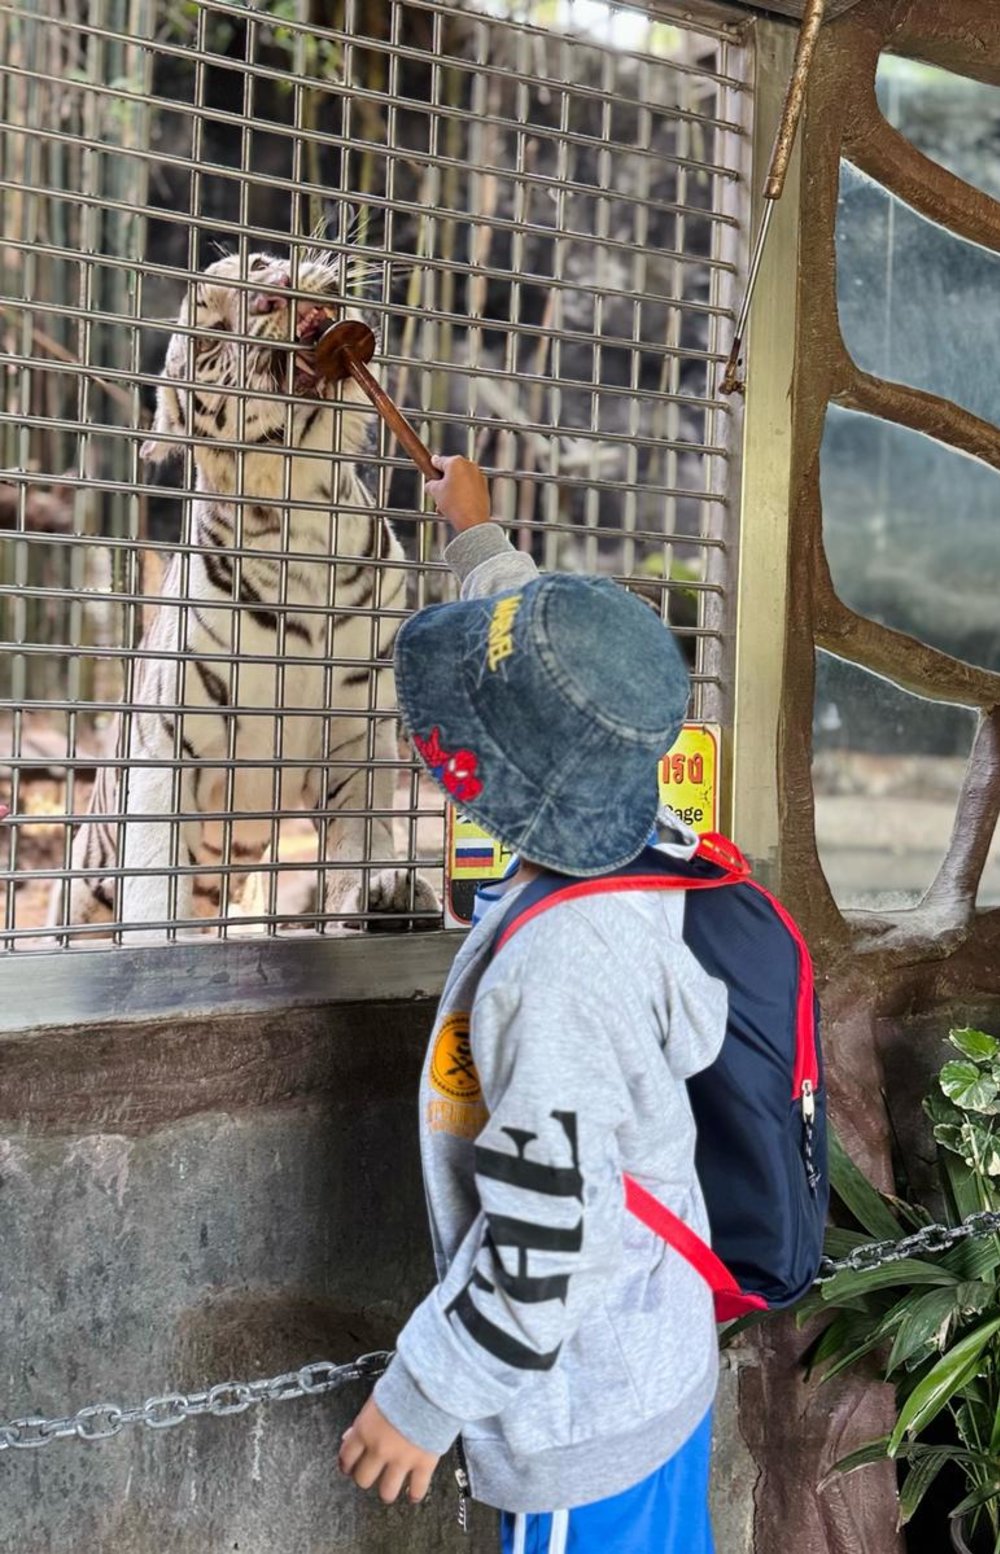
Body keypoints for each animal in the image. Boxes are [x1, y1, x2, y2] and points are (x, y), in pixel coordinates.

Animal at [47, 250, 439, 938]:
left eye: (259, 263)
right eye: (210, 334)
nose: (273, 293)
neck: (304, 513)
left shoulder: (353, 730)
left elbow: (359, 831)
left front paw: (380, 891)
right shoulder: (166, 748)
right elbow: (152, 873)